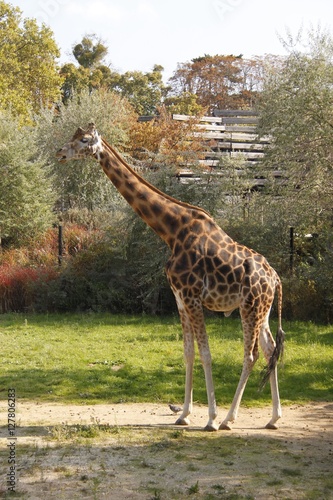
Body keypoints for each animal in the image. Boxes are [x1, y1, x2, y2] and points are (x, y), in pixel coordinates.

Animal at [55, 123, 284, 432]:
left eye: (84, 140)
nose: (60, 153)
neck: (171, 231)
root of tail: (275, 278)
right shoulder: (179, 298)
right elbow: (188, 352)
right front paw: (184, 414)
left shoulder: (192, 296)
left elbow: (206, 353)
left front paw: (210, 418)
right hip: (263, 309)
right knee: (271, 350)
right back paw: (273, 418)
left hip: (250, 307)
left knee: (251, 355)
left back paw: (227, 419)